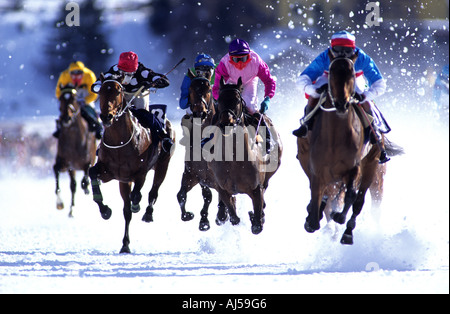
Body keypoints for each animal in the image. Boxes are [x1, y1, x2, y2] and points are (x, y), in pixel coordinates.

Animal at [54, 83, 97, 217]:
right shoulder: (65, 163)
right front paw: (59, 203)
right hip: (71, 169)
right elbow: (56, 170)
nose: (66, 118)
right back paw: (71, 210)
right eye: (61, 99)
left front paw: (86, 186)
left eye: (73, 98)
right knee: (73, 186)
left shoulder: (89, 161)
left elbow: (86, 175)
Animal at [89, 75, 176, 253]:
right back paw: (125, 244)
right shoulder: (110, 172)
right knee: (126, 212)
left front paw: (137, 204)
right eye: (101, 91)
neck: (120, 142)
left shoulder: (140, 173)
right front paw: (105, 210)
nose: (107, 116)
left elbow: (137, 194)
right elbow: (92, 173)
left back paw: (147, 213)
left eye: (119, 90)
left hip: (163, 164)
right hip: (124, 181)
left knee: (154, 191)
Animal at [177, 69, 230, 231]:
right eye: (191, 89)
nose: (200, 112)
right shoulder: (194, 174)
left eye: (208, 89)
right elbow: (183, 195)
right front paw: (197, 218)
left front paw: (219, 216)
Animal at [207, 78, 282, 236]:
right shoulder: (222, 186)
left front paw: (256, 217)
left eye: (237, 100)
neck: (234, 159)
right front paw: (227, 213)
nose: (226, 122)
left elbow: (257, 226)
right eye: (219, 99)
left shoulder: (256, 187)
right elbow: (234, 217)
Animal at [298, 55, 402, 244]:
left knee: (362, 201)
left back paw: (348, 231)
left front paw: (338, 218)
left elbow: (351, 196)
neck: (334, 138)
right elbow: (317, 204)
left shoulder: (354, 168)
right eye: (332, 72)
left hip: (374, 170)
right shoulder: (317, 170)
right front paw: (313, 217)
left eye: (352, 74)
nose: (342, 103)